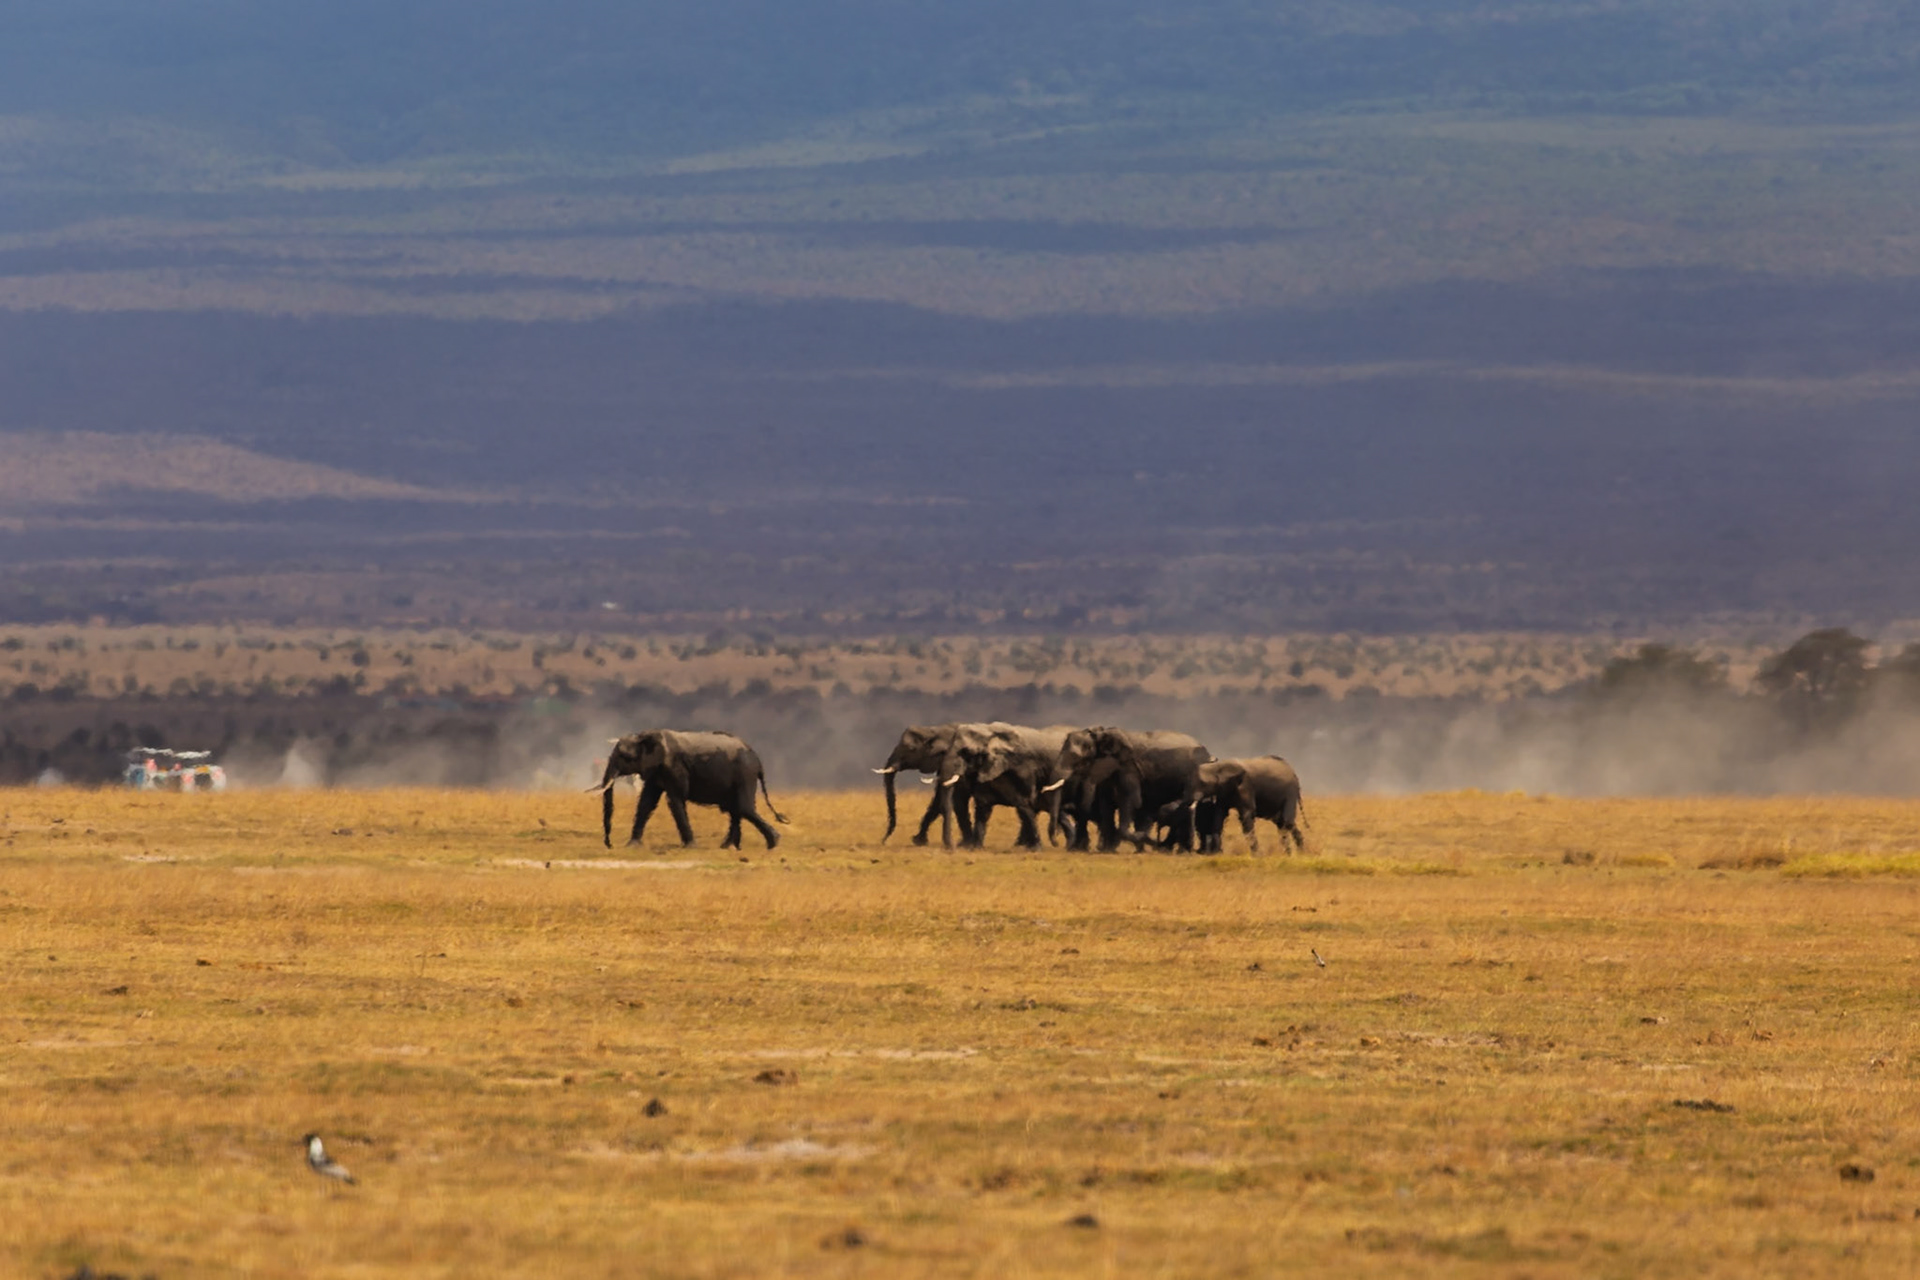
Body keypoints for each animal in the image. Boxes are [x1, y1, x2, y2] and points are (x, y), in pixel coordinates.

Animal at [590, 730, 788, 850]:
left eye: (625, 756)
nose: (609, 844)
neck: (646, 735)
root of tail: (758, 760)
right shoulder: (656, 770)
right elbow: (646, 802)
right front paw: (632, 846)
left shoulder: (674, 768)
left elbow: (675, 799)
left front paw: (691, 847)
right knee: (736, 810)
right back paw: (728, 847)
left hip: (745, 774)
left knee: (743, 808)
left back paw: (773, 843)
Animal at [1046, 727, 1211, 852]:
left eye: (1075, 758)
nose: (1055, 843)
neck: (1100, 735)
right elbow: (1106, 806)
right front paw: (1108, 850)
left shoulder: (1128, 768)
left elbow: (1131, 802)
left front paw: (1146, 839)